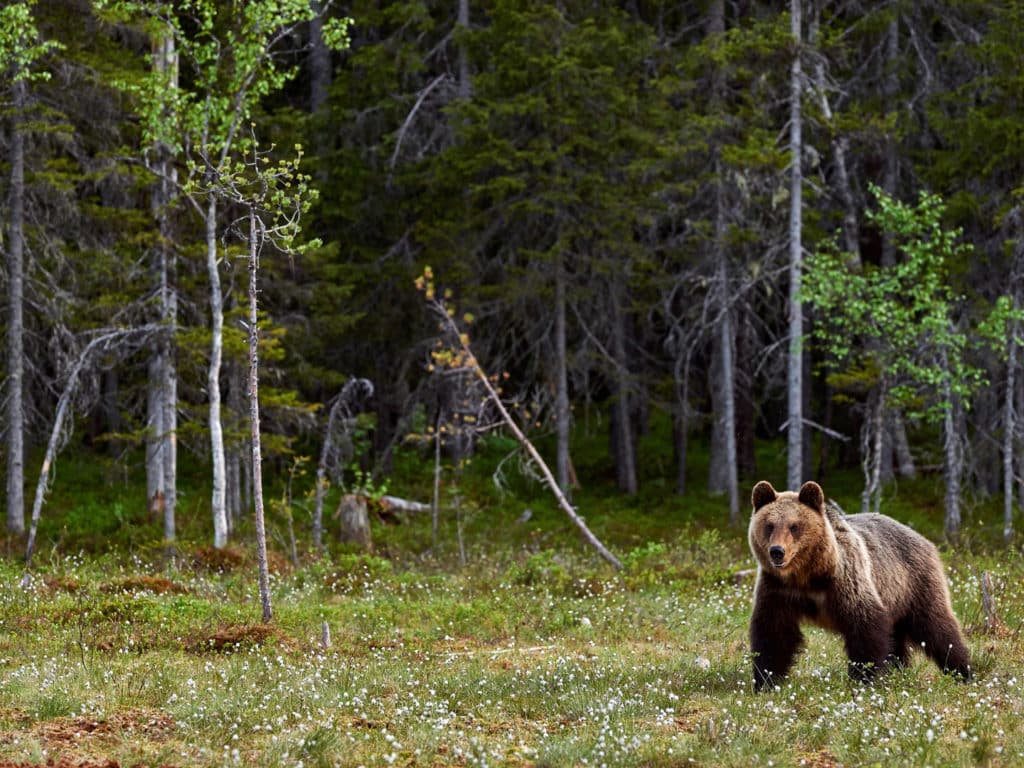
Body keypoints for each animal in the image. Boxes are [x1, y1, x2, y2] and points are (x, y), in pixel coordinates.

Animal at [747, 480, 971, 690]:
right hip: (894, 599)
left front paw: (864, 678)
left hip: (916, 583)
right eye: (769, 525)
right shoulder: (779, 589)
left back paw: (962, 671)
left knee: (937, 627)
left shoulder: (846, 581)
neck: (806, 576)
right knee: (898, 638)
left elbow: (865, 626)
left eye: (794, 526)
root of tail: (921, 537)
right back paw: (900, 670)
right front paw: (766, 681)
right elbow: (773, 633)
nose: (777, 551)